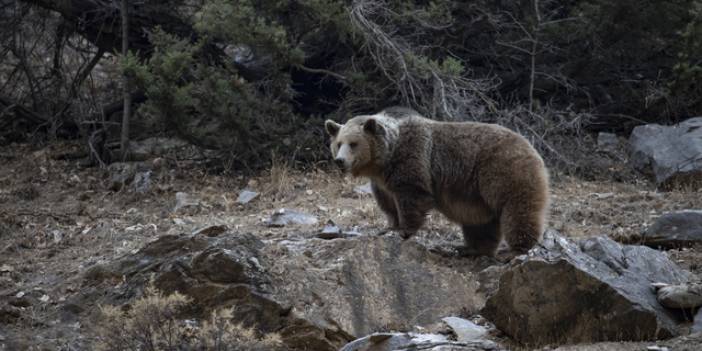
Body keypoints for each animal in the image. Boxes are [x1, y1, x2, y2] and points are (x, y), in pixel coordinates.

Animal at [328, 106, 552, 256]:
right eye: (338, 143)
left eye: (353, 144)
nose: (340, 161)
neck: (384, 160)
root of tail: (532, 147)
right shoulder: (382, 183)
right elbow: (389, 205)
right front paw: (388, 227)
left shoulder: (412, 161)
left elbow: (413, 196)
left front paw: (403, 230)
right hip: (477, 195)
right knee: (482, 224)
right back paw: (469, 248)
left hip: (504, 171)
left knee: (517, 208)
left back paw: (515, 249)